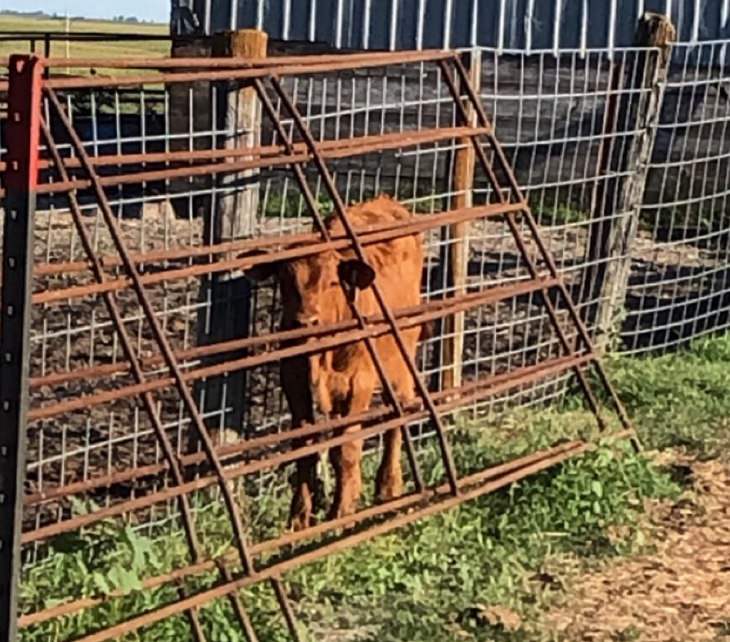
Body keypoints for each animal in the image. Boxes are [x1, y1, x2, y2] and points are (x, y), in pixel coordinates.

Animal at [247, 194, 424, 524]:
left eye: (332, 281)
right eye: (285, 279)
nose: (306, 320)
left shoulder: (359, 382)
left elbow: (347, 449)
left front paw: (342, 512)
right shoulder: (294, 382)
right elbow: (305, 448)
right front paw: (299, 518)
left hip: (402, 358)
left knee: (397, 415)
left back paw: (388, 487)